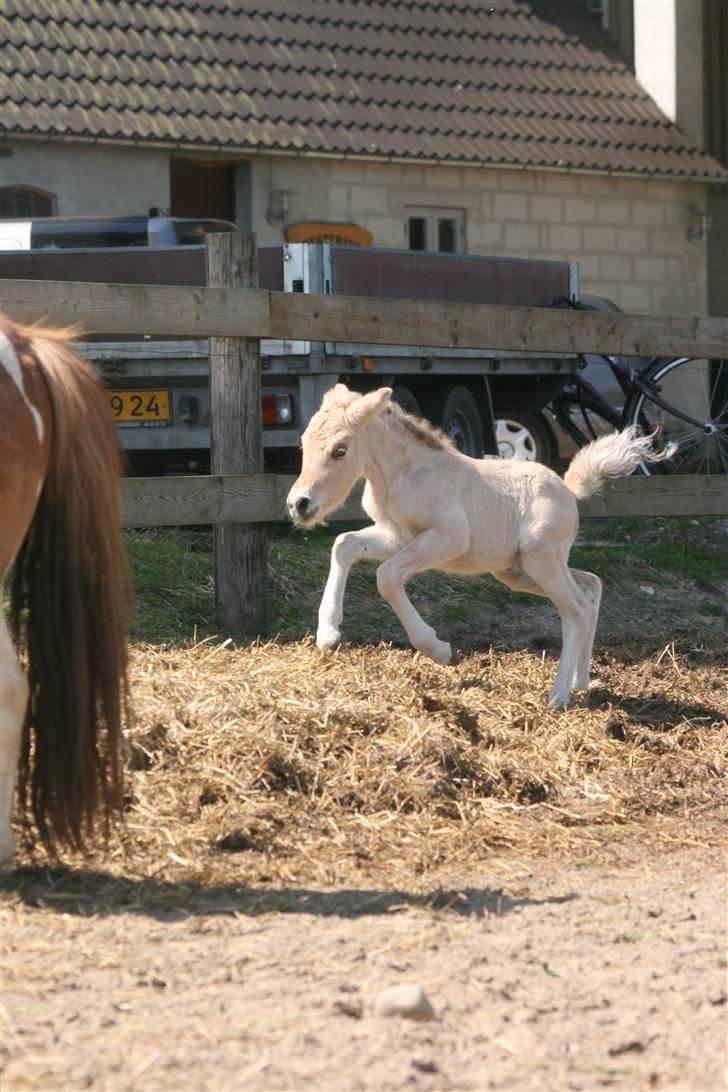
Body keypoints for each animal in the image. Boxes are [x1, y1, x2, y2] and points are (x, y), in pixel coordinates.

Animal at [288, 384, 659, 707]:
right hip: (518, 570)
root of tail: (568, 490)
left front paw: (440, 651)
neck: (403, 475)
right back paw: (581, 681)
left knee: (576, 609)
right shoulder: (397, 536)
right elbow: (344, 545)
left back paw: (559, 695)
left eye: (340, 450)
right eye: (303, 442)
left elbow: (387, 576)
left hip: (540, 559)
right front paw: (328, 633)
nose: (299, 504)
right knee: (590, 586)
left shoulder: (450, 537)